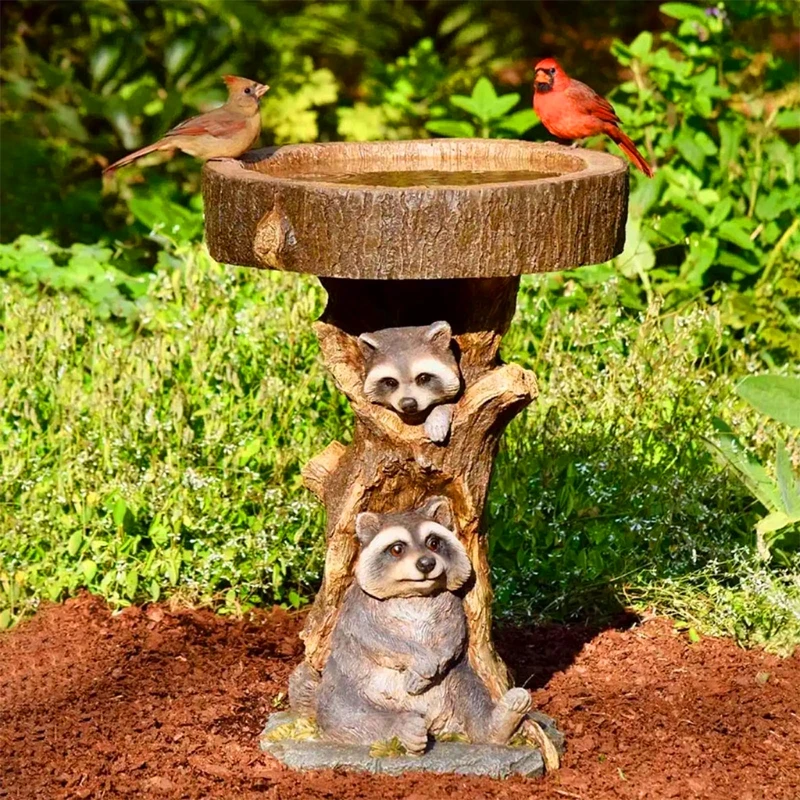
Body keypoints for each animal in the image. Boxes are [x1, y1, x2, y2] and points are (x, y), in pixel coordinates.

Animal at [288, 498, 531, 754]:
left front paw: (433, 662)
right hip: (341, 686)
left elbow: (454, 634)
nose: (426, 563)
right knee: (346, 714)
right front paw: (421, 662)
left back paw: (499, 722)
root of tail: (435, 723)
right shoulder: (358, 605)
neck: (414, 593)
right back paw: (403, 727)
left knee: (470, 693)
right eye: (397, 549)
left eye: (433, 543)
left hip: (458, 679)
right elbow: (375, 637)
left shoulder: (451, 602)